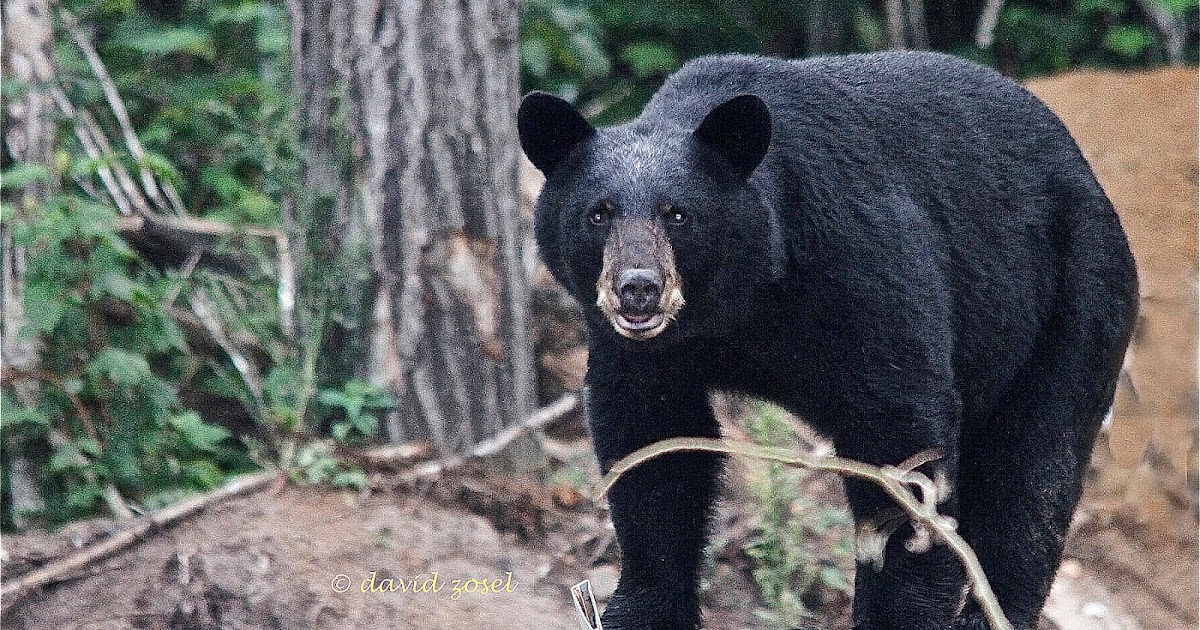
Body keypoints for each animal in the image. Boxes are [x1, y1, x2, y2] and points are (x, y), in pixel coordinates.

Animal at [518, 51, 1138, 630]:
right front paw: (640, 606)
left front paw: (899, 611)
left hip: (1074, 297)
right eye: (599, 214)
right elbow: (653, 451)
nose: (639, 289)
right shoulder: (645, 352)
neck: (743, 297)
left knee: (1036, 469)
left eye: (678, 215)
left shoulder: (860, 267)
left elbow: (903, 441)